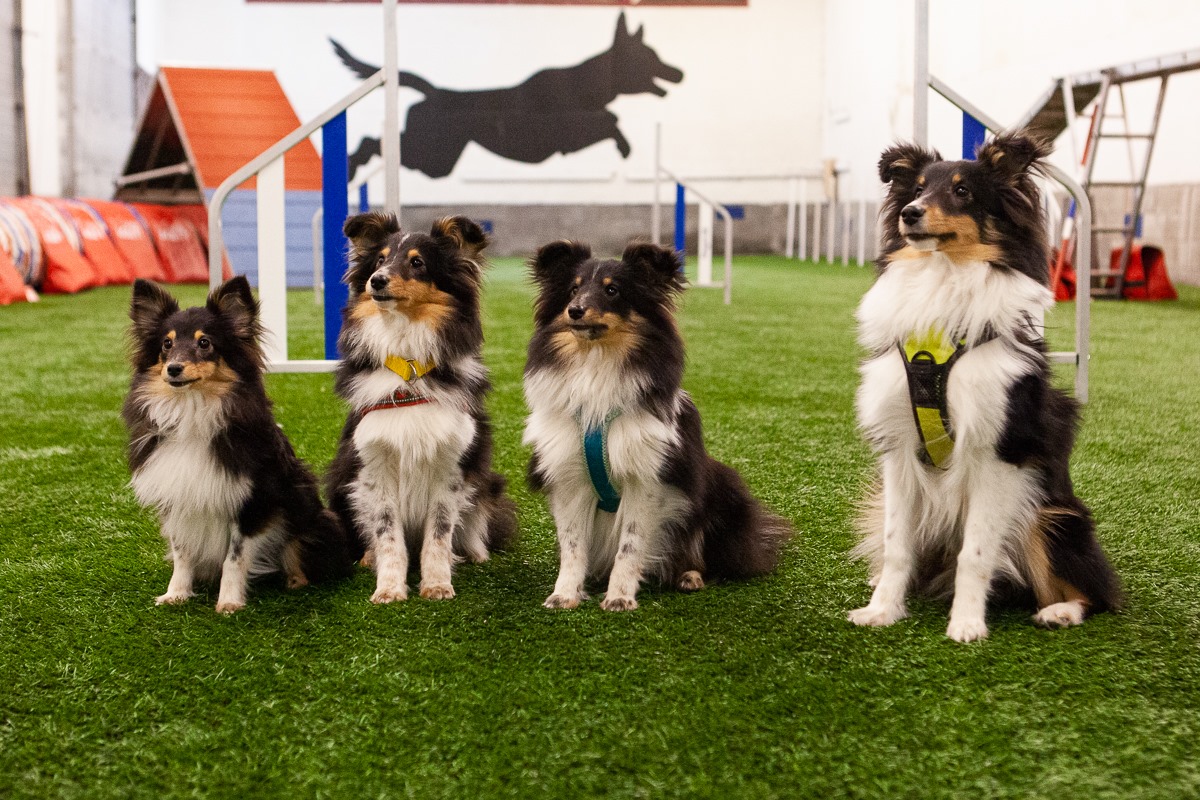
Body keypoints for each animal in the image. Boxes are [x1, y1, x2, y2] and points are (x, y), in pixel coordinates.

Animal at [124, 277, 354, 613]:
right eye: (166, 344)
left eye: (205, 343)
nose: (174, 369)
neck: (192, 410)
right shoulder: (177, 497)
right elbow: (182, 553)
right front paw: (176, 594)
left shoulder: (251, 501)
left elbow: (234, 558)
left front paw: (229, 602)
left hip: (311, 520)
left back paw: (294, 582)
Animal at [325, 213, 517, 603]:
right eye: (379, 260)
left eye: (417, 263)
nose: (377, 280)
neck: (409, 367)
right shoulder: (374, 464)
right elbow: (387, 535)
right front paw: (388, 589)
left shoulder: (451, 464)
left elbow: (439, 535)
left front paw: (438, 585)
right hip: (338, 477)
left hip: (487, 480)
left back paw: (475, 553)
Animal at [332, 12, 683, 179]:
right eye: (650, 57)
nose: (680, 73)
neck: (585, 83)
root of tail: (434, 91)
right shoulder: (569, 136)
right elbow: (610, 119)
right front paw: (624, 145)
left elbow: (610, 117)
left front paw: (624, 144)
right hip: (429, 154)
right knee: (371, 142)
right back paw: (350, 166)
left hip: (437, 161)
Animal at [523, 240, 794, 611]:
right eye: (573, 289)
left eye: (612, 290)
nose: (575, 311)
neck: (597, 360)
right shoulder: (568, 474)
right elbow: (572, 544)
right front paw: (565, 594)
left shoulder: (648, 477)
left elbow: (631, 544)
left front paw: (619, 597)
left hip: (724, 490)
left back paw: (690, 576)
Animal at [848, 131, 1122, 642]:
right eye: (916, 188)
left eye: (962, 192)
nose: (909, 213)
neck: (943, 277)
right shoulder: (898, 449)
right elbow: (897, 545)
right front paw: (882, 611)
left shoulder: (999, 450)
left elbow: (974, 554)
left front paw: (967, 625)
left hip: (1052, 517)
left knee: (1096, 594)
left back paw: (1059, 611)